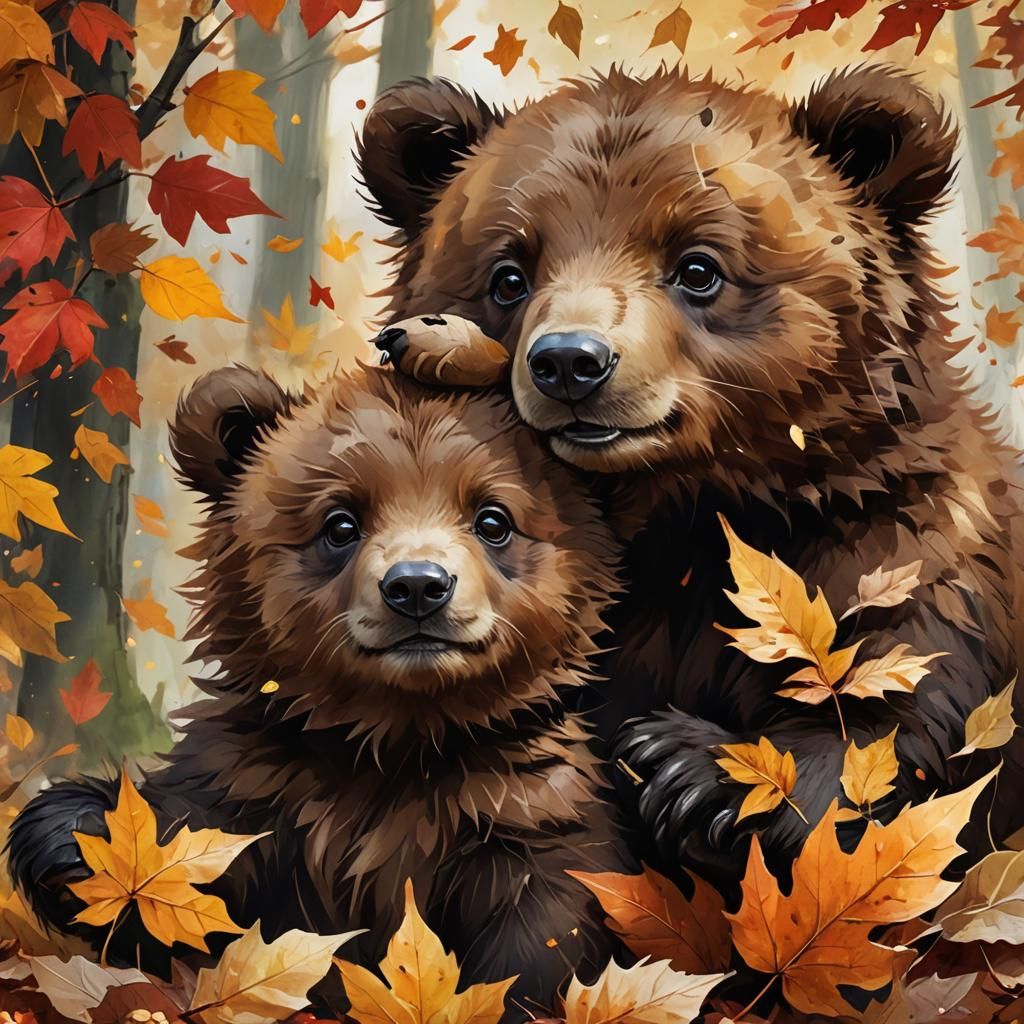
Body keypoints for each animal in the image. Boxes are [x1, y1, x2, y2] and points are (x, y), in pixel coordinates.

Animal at [8, 364, 633, 1021]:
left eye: (493, 519)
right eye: (340, 524)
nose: (417, 586)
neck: (396, 734)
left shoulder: (515, 807)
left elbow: (545, 929)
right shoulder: (257, 792)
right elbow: (182, 897)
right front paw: (73, 833)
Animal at [355, 64, 1024, 886]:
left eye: (698, 266)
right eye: (510, 274)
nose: (569, 361)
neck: (686, 509)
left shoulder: (887, 535)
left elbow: (886, 711)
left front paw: (691, 772)